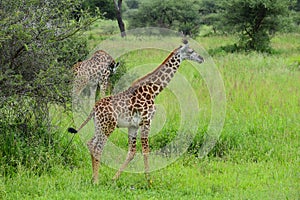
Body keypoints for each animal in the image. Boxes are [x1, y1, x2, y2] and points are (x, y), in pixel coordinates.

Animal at [67, 39, 204, 184]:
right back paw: (97, 181)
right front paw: (149, 181)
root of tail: (94, 108)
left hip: (99, 125)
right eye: (191, 51)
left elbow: (131, 152)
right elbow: (145, 150)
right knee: (98, 148)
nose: (201, 58)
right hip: (108, 126)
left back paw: (93, 178)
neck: (153, 91)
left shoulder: (133, 126)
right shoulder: (146, 121)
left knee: (90, 143)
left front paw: (114, 178)